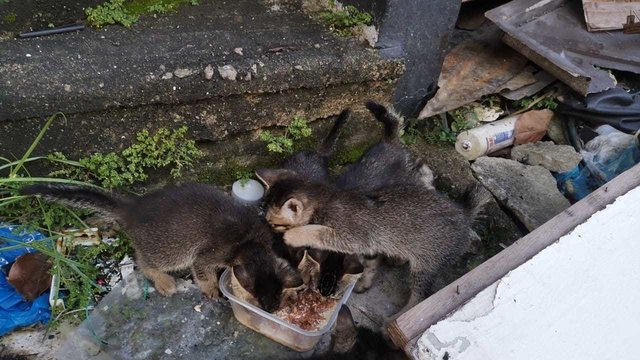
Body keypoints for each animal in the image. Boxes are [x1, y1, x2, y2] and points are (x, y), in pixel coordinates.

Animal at [18, 183, 300, 312]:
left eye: (277, 297)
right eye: (260, 299)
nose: (273, 310)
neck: (251, 242)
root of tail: (132, 209)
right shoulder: (210, 254)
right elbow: (202, 271)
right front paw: (211, 289)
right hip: (169, 250)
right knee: (142, 260)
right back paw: (163, 281)